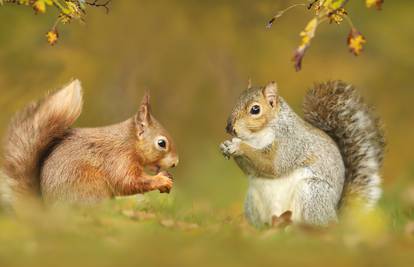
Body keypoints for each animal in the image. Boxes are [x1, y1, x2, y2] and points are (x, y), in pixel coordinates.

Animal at [220, 80, 384, 227]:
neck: (256, 137)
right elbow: (251, 170)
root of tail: (336, 218)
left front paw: (238, 146)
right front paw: (226, 145)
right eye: (237, 100)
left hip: (312, 194)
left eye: (255, 109)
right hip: (252, 202)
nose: (229, 127)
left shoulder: (291, 143)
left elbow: (273, 165)